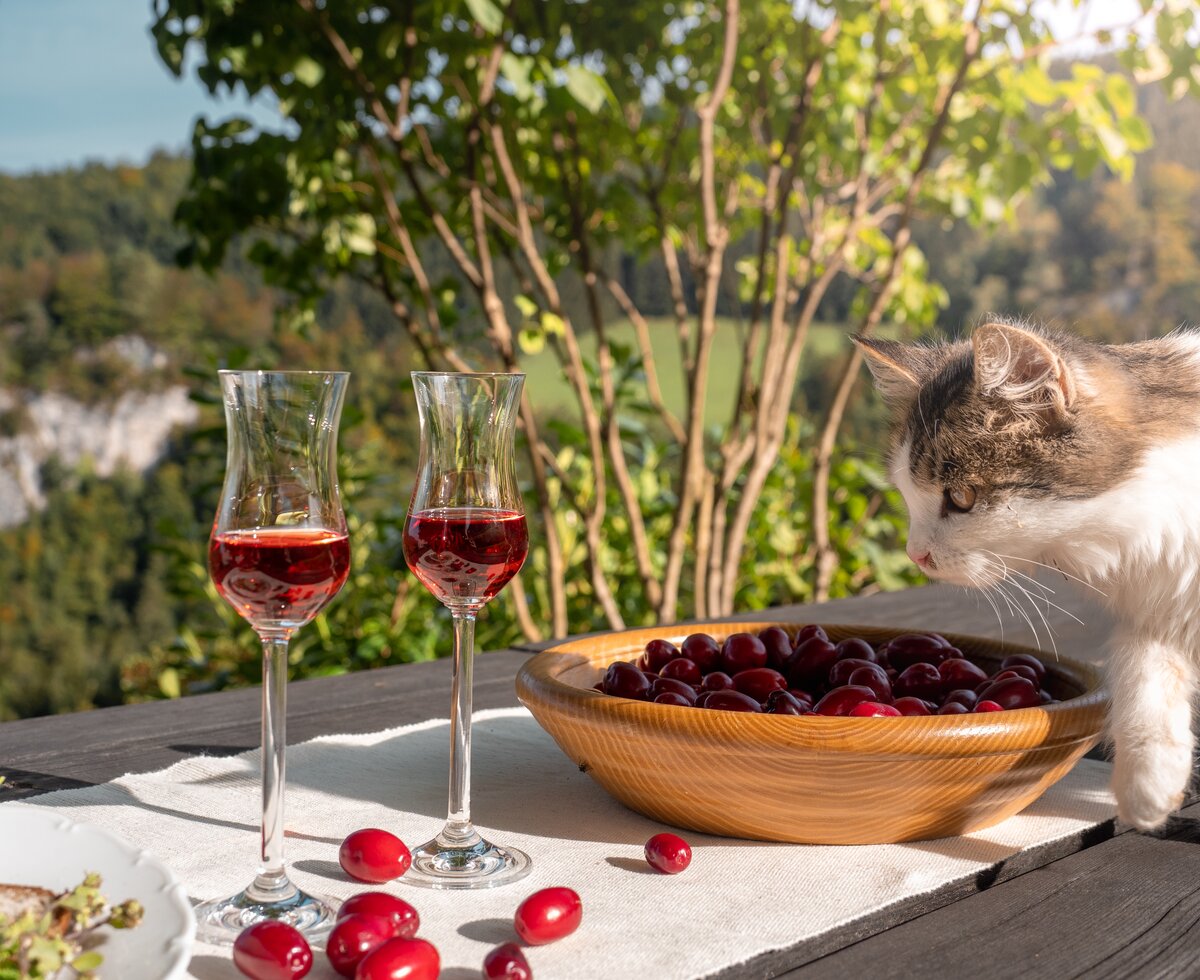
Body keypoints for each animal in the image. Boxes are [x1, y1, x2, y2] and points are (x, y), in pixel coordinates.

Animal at [854, 321, 1200, 825]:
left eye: (960, 497)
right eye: (905, 493)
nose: (915, 555)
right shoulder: (1161, 598)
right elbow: (1142, 664)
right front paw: (1148, 782)